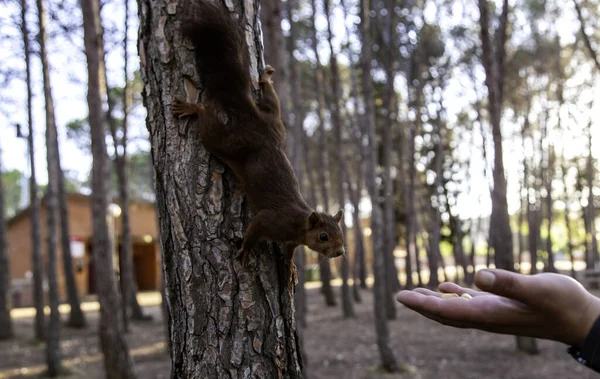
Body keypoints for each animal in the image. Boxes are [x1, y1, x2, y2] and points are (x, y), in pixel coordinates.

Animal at [171, 2, 344, 284]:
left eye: (341, 233)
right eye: (323, 237)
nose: (340, 252)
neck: (298, 224)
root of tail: (254, 121)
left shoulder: (291, 241)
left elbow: (289, 252)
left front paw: (290, 268)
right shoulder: (269, 221)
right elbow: (254, 230)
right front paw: (244, 250)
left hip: (275, 122)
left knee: (271, 100)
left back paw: (266, 78)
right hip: (226, 142)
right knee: (208, 118)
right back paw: (192, 107)